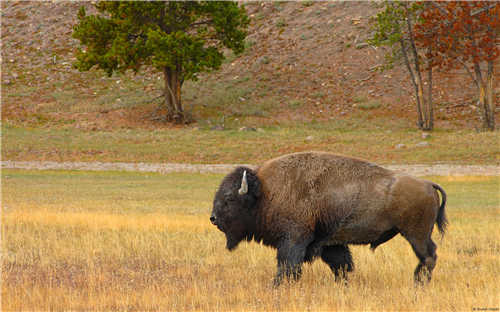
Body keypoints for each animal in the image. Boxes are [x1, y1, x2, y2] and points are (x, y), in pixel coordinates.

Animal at [209, 152, 448, 286]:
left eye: (229, 198)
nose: (213, 218)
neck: (266, 192)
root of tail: (427, 183)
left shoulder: (293, 240)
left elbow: (287, 266)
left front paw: (277, 285)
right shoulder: (329, 243)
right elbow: (341, 265)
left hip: (416, 235)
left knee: (429, 256)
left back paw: (418, 283)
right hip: (417, 234)